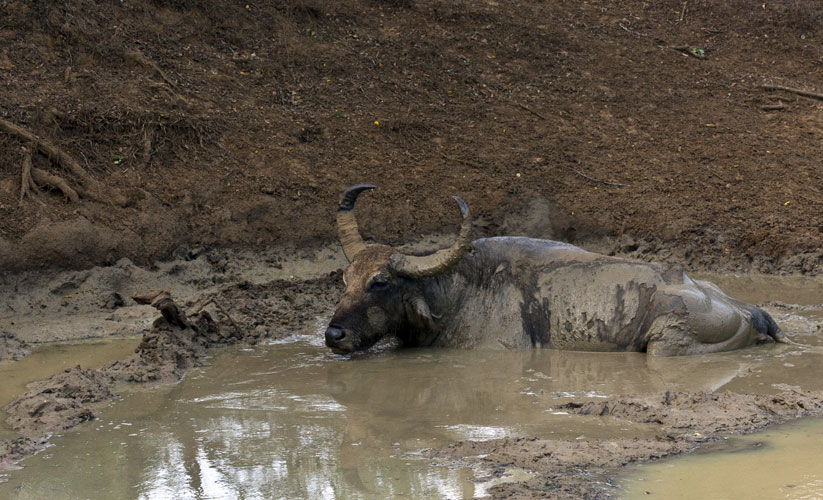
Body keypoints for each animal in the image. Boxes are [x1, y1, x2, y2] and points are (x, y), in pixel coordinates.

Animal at [326, 187, 788, 356]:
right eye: (345, 279)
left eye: (380, 282)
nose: (334, 334)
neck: (460, 293)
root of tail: (747, 310)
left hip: (667, 342)